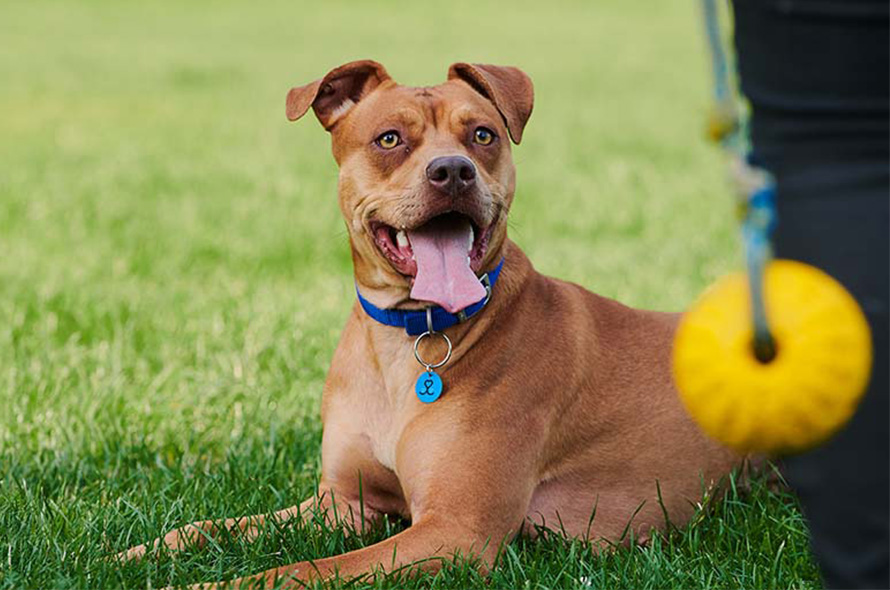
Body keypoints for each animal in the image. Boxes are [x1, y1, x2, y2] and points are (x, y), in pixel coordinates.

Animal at [116, 61, 736, 590]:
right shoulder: (344, 505)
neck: (410, 335)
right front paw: (134, 553)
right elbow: (209, 528)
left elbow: (300, 571)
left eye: (483, 136)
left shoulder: (454, 532)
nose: (453, 170)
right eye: (389, 139)